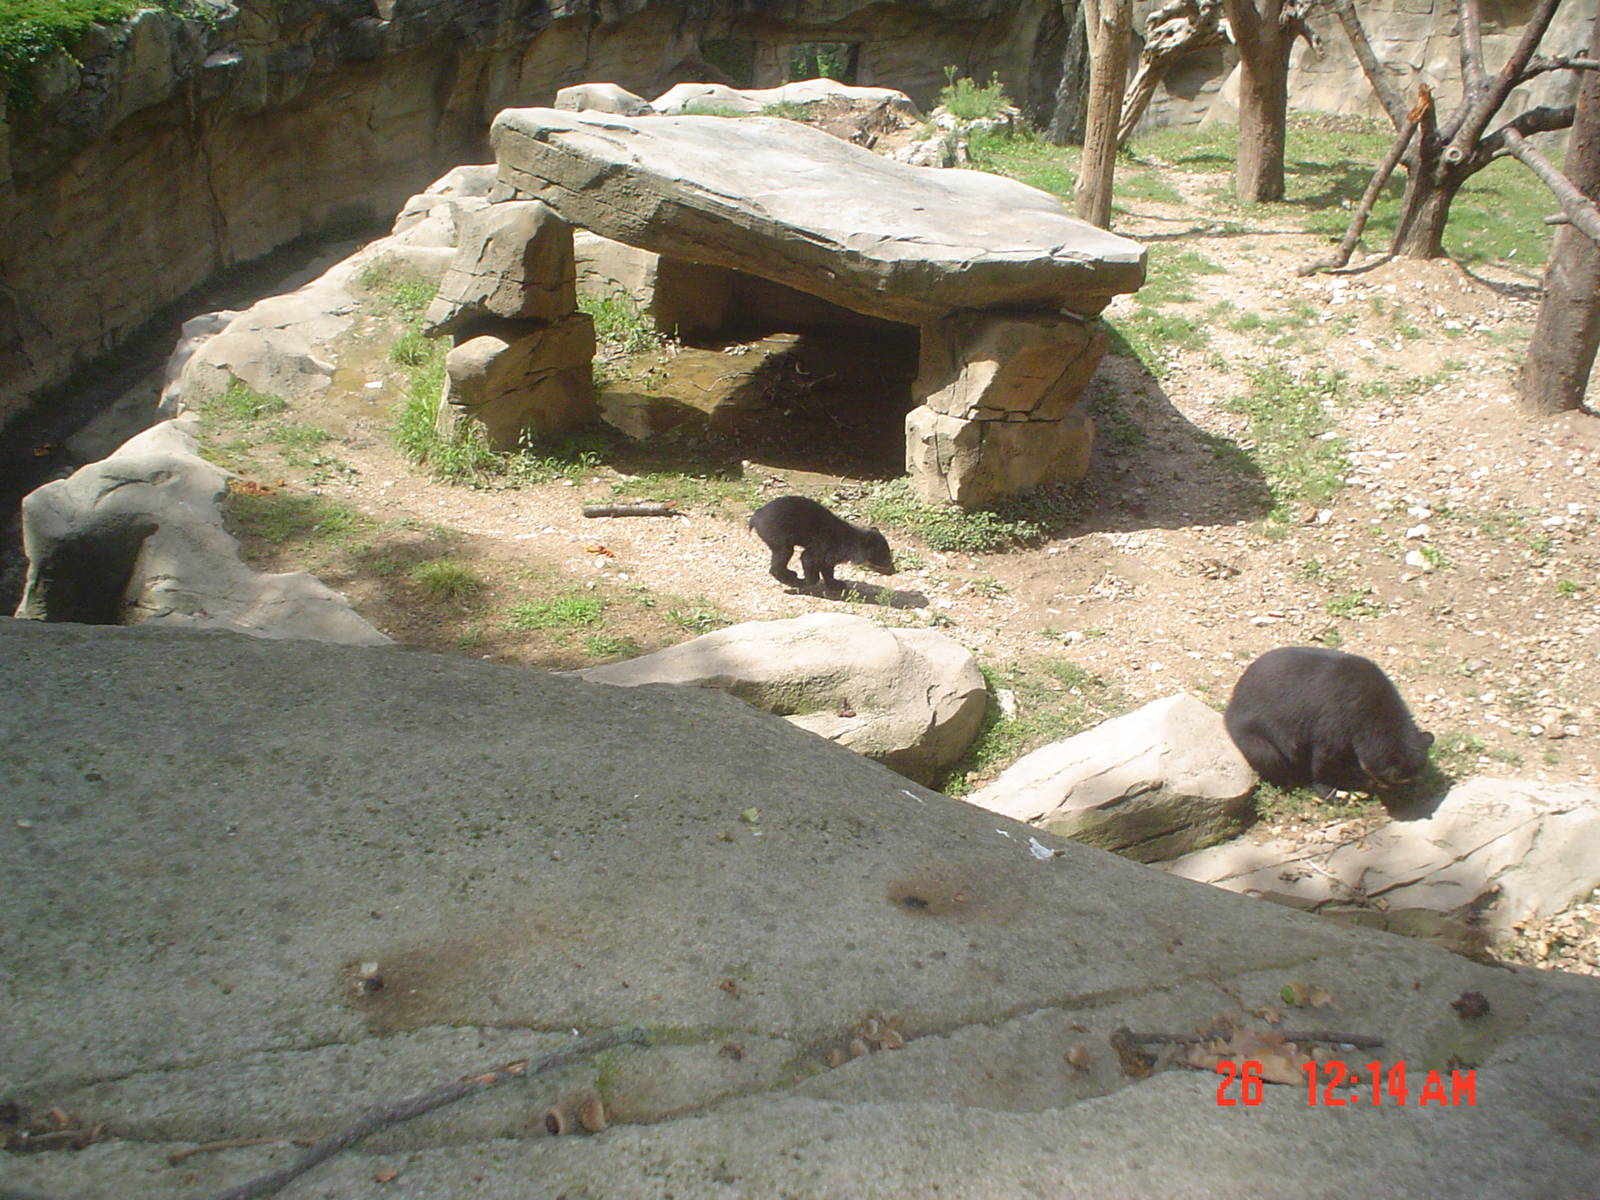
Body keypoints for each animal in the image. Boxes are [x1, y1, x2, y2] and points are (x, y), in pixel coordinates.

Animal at [747, 495, 896, 591]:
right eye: (885, 558)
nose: (894, 571)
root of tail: (756, 516)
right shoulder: (828, 546)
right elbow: (808, 558)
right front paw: (806, 581)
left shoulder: (832, 554)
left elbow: (827, 567)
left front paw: (836, 584)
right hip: (777, 534)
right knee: (783, 554)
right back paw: (792, 578)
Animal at [1223, 646, 1434, 800]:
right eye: (1390, 780)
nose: (1402, 795)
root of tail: (1232, 701)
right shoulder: (1336, 719)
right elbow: (1326, 758)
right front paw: (1335, 792)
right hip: (1251, 733)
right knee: (1268, 755)